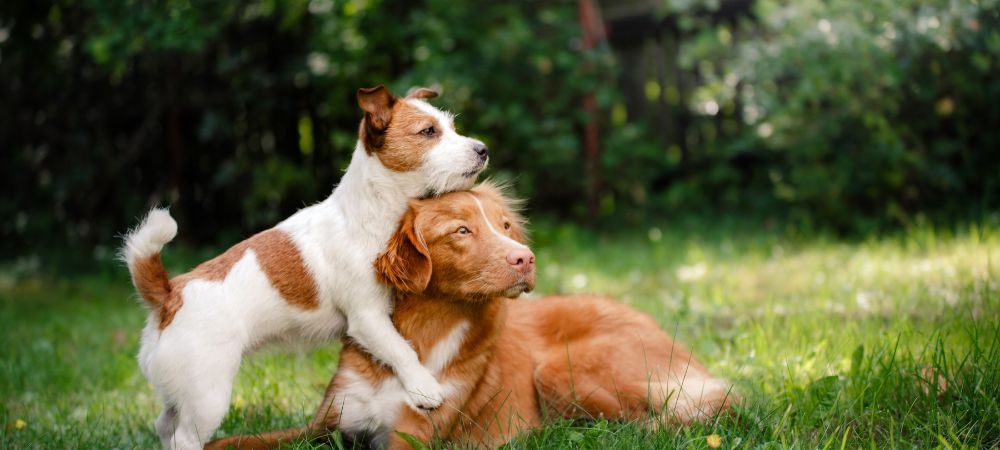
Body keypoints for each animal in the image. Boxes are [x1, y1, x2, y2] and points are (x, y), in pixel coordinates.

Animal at [121, 85, 488, 450]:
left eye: (452, 127)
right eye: (428, 132)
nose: (483, 149)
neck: (370, 212)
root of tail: (169, 295)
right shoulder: (367, 317)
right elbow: (401, 350)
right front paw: (424, 387)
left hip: (182, 392)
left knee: (164, 424)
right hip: (207, 396)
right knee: (183, 435)